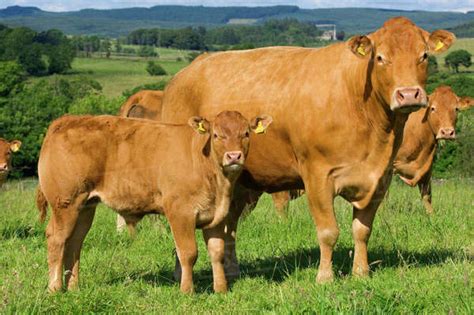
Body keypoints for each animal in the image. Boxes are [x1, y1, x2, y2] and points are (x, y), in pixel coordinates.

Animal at [36, 111, 272, 294]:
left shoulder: (216, 215)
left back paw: (73, 287)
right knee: (56, 239)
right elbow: (188, 253)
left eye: (246, 133)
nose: (234, 156)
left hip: (85, 206)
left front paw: (221, 289)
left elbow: (217, 252)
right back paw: (55, 288)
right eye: (216, 135)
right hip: (65, 203)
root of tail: (65, 121)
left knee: (75, 241)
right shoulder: (180, 212)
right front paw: (187, 290)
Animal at [161, 16, 458, 284]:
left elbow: (362, 230)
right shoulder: (317, 176)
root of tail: (184, 74)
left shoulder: (379, 177)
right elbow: (328, 231)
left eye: (424, 56)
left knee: (229, 225)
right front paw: (325, 277)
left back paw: (232, 270)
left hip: (238, 181)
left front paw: (361, 273)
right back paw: (179, 273)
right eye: (380, 58)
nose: (408, 94)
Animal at [392, 86, 474, 214]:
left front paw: (432, 215)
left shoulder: (427, 166)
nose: (447, 132)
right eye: (433, 108)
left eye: (456, 109)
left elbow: (427, 195)